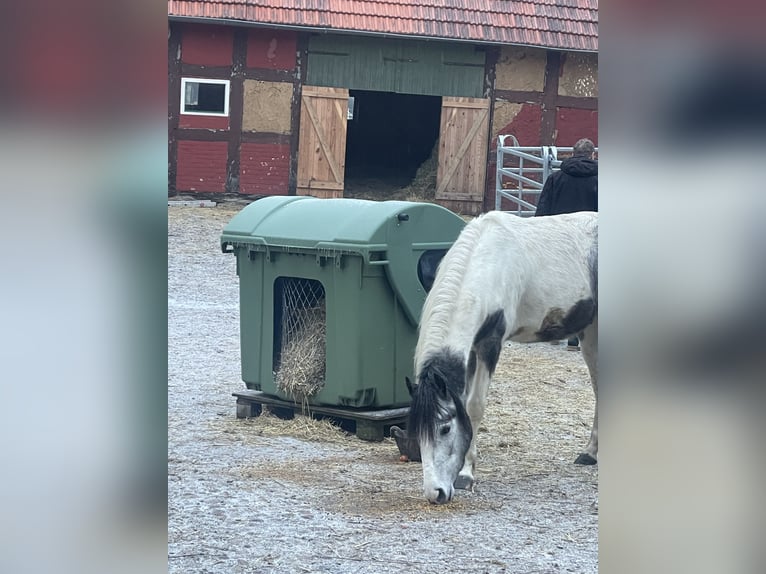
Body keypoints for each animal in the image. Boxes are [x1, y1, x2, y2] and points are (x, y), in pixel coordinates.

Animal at [406, 210, 598, 504]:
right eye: (418, 432)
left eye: (445, 428)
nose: (435, 493)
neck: (487, 263)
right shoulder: (472, 348)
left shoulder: (490, 344)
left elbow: (475, 407)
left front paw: (466, 475)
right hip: (590, 333)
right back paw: (590, 453)